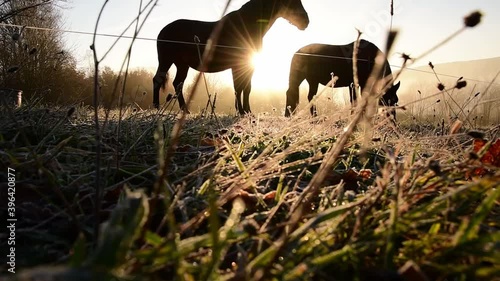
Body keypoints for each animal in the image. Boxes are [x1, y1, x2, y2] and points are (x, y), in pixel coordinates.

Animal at [152, 0, 308, 114]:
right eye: (292, 1)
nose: (306, 21)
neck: (247, 25)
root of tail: (163, 30)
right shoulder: (238, 64)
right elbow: (239, 87)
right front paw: (242, 111)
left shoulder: (248, 64)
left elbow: (246, 87)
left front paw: (246, 111)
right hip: (166, 60)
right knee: (158, 80)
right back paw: (157, 107)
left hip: (182, 65)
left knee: (177, 83)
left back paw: (184, 110)